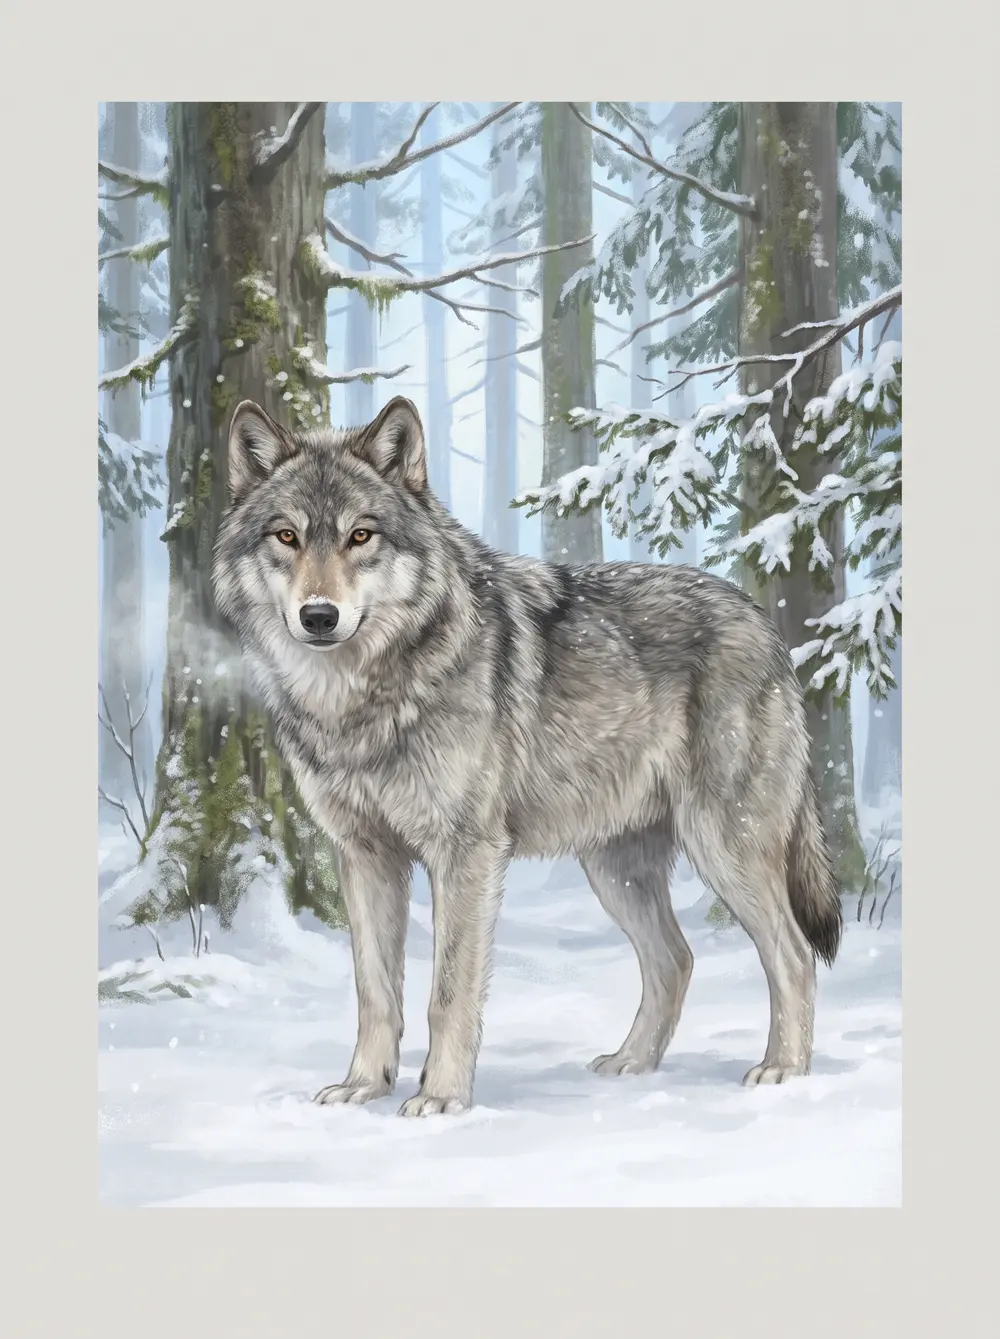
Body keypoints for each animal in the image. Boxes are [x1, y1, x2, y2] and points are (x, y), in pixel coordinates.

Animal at [213, 395, 842, 1117]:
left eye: (361, 536)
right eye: (286, 537)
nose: (319, 616)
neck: (362, 698)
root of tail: (764, 623)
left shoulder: (467, 853)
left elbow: (447, 993)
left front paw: (441, 1099)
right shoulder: (365, 854)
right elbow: (375, 992)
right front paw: (363, 1086)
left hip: (722, 846)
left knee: (792, 954)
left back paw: (785, 1071)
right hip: (615, 868)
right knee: (676, 958)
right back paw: (632, 1064)